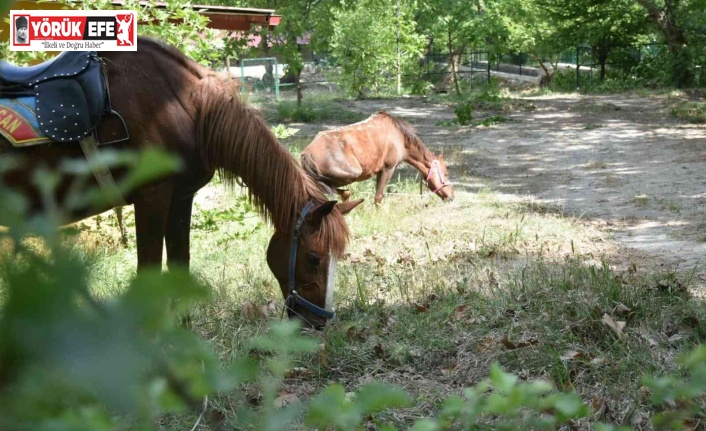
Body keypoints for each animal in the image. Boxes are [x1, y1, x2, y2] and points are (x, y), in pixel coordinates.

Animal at [0, 37, 360, 330]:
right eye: (314, 258)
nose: (317, 323)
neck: (188, 106)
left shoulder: (180, 198)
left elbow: (179, 268)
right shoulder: (152, 198)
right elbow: (148, 270)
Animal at [300, 111, 454, 206]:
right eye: (446, 173)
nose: (451, 196)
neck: (400, 137)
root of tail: (307, 153)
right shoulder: (387, 169)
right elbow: (378, 197)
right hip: (351, 174)